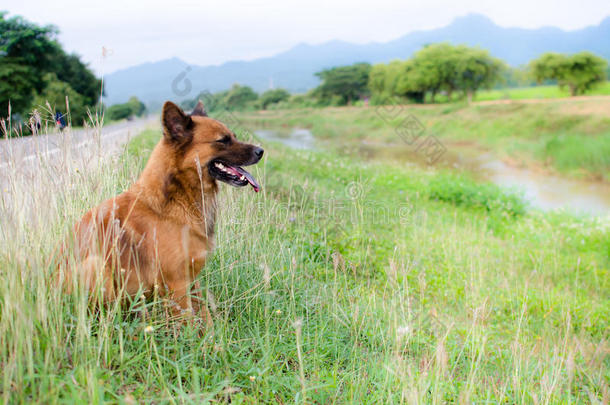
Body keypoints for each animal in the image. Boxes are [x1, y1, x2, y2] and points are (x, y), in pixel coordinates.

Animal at [58, 101, 262, 326]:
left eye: (233, 136)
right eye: (223, 141)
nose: (261, 151)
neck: (178, 197)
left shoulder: (192, 280)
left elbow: (205, 315)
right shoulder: (178, 284)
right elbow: (190, 322)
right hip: (95, 266)